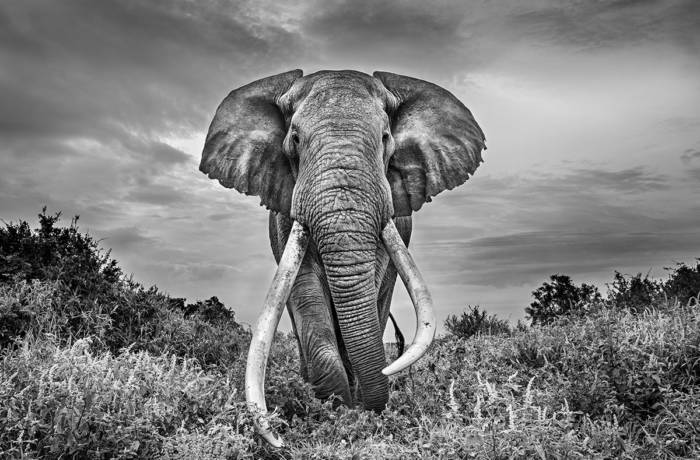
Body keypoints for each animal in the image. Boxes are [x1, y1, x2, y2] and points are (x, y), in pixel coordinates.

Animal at [200, 69, 484, 446]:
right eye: (295, 139)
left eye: (385, 138)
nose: (365, 409)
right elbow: (306, 294)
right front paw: (334, 408)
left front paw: (354, 408)